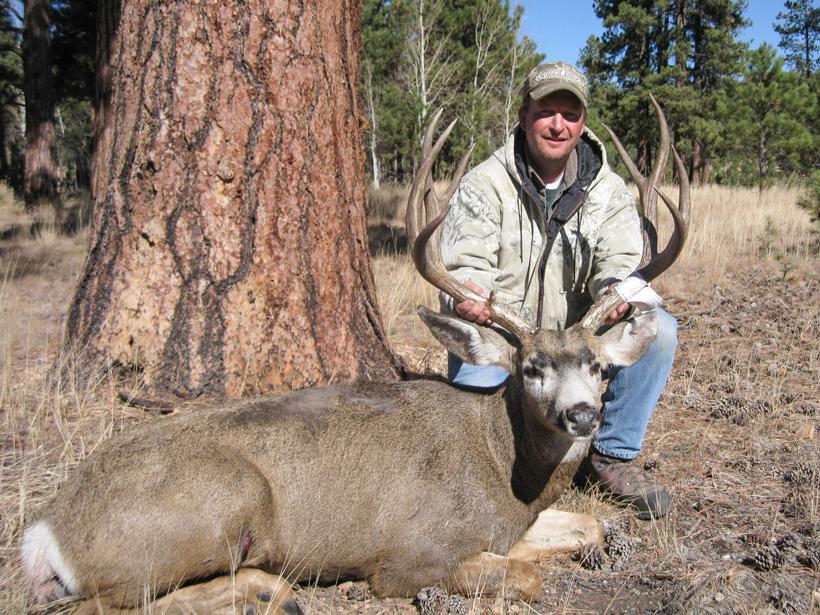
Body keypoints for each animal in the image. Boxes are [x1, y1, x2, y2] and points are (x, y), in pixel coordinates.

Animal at [21, 95, 689, 614]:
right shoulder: (407, 556)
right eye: (531, 368)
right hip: (214, 504)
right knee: (101, 605)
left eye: (599, 368)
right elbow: (528, 576)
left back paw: (265, 589)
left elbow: (589, 522)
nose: (582, 414)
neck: (507, 469)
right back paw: (266, 594)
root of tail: (46, 532)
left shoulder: (511, 527)